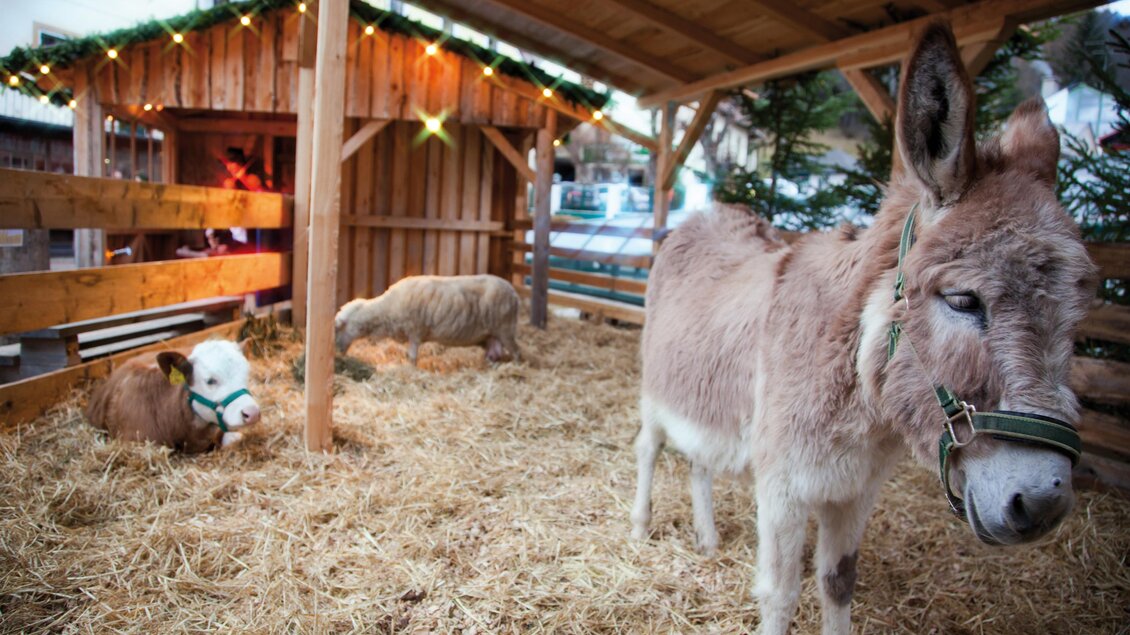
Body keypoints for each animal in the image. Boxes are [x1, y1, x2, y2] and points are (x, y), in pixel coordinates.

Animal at [335, 274, 520, 365]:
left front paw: (411, 370)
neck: (386, 309)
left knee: (517, 352)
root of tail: (513, 292)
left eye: (339, 328)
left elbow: (411, 356)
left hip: (505, 328)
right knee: (494, 353)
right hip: (491, 335)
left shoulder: (415, 331)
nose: (337, 352)